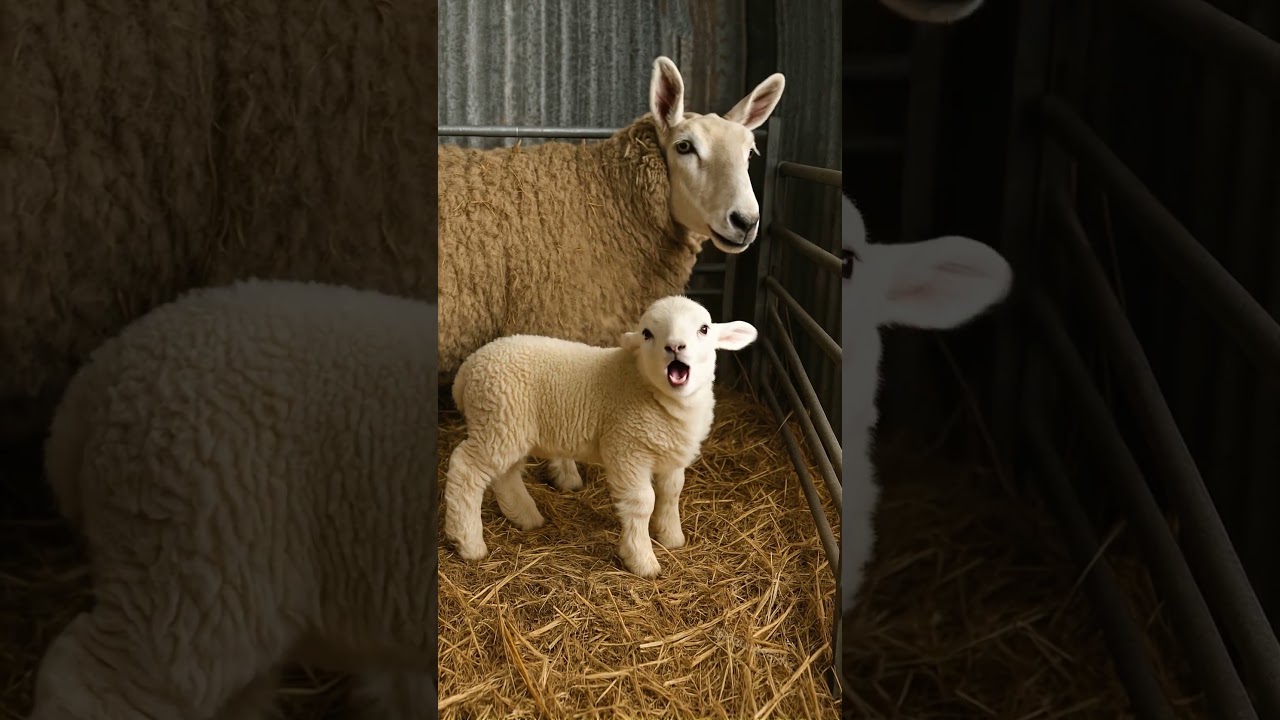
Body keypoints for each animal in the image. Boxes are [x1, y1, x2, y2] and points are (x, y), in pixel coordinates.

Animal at [442, 295, 758, 579]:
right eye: (647, 333)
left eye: (704, 329)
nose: (675, 346)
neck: (647, 386)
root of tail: (467, 369)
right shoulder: (627, 449)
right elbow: (643, 502)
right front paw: (642, 560)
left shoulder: (670, 454)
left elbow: (672, 492)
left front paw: (671, 537)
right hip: (496, 421)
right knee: (465, 470)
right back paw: (468, 543)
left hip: (508, 428)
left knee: (505, 474)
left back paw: (525, 516)